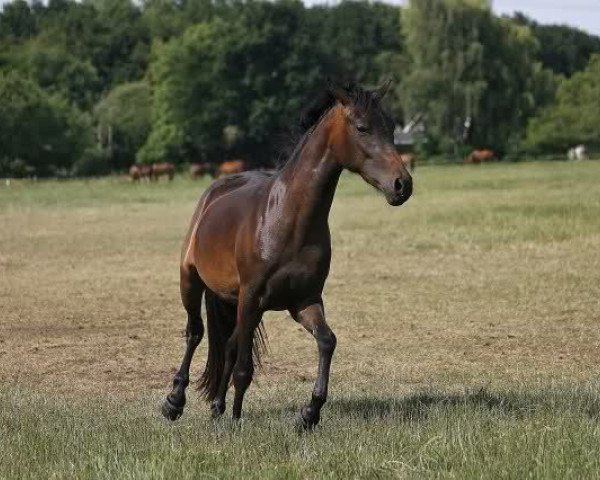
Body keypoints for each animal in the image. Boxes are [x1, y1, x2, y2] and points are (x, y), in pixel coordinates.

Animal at [159, 80, 412, 430]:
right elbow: (243, 368)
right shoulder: (252, 297)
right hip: (192, 281)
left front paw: (310, 413)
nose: (402, 185)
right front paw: (236, 421)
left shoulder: (303, 301)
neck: (287, 219)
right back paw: (174, 403)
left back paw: (217, 407)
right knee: (195, 334)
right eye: (362, 127)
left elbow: (327, 341)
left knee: (228, 344)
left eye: (391, 128)